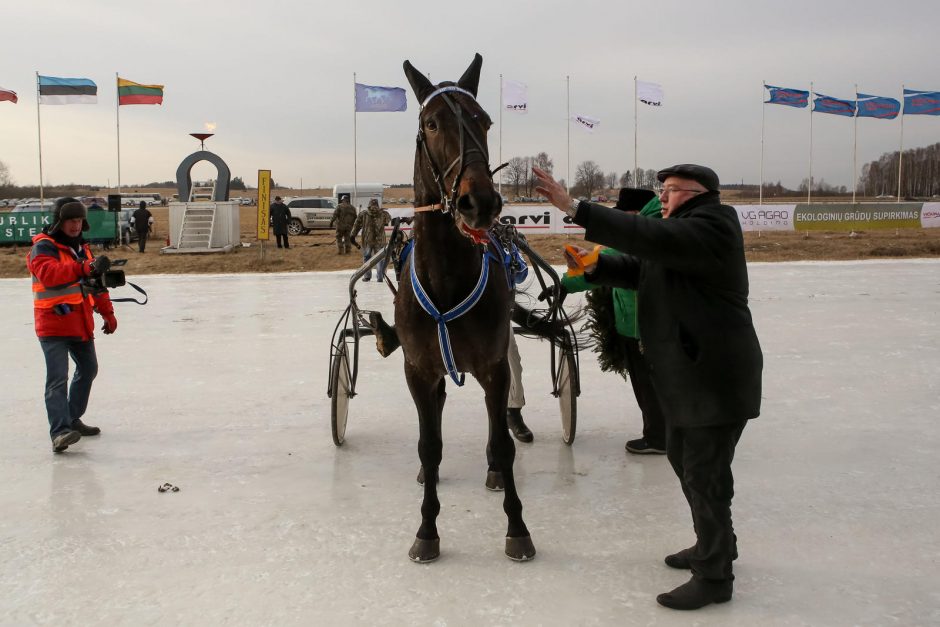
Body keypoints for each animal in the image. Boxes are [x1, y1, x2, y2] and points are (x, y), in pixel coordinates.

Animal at [392, 55, 532, 564]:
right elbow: (428, 445)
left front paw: (517, 528)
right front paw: (427, 529)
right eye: (431, 123)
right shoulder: (418, 369)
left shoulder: (493, 366)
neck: (449, 280)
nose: (480, 201)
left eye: (485, 121)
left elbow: (503, 443)